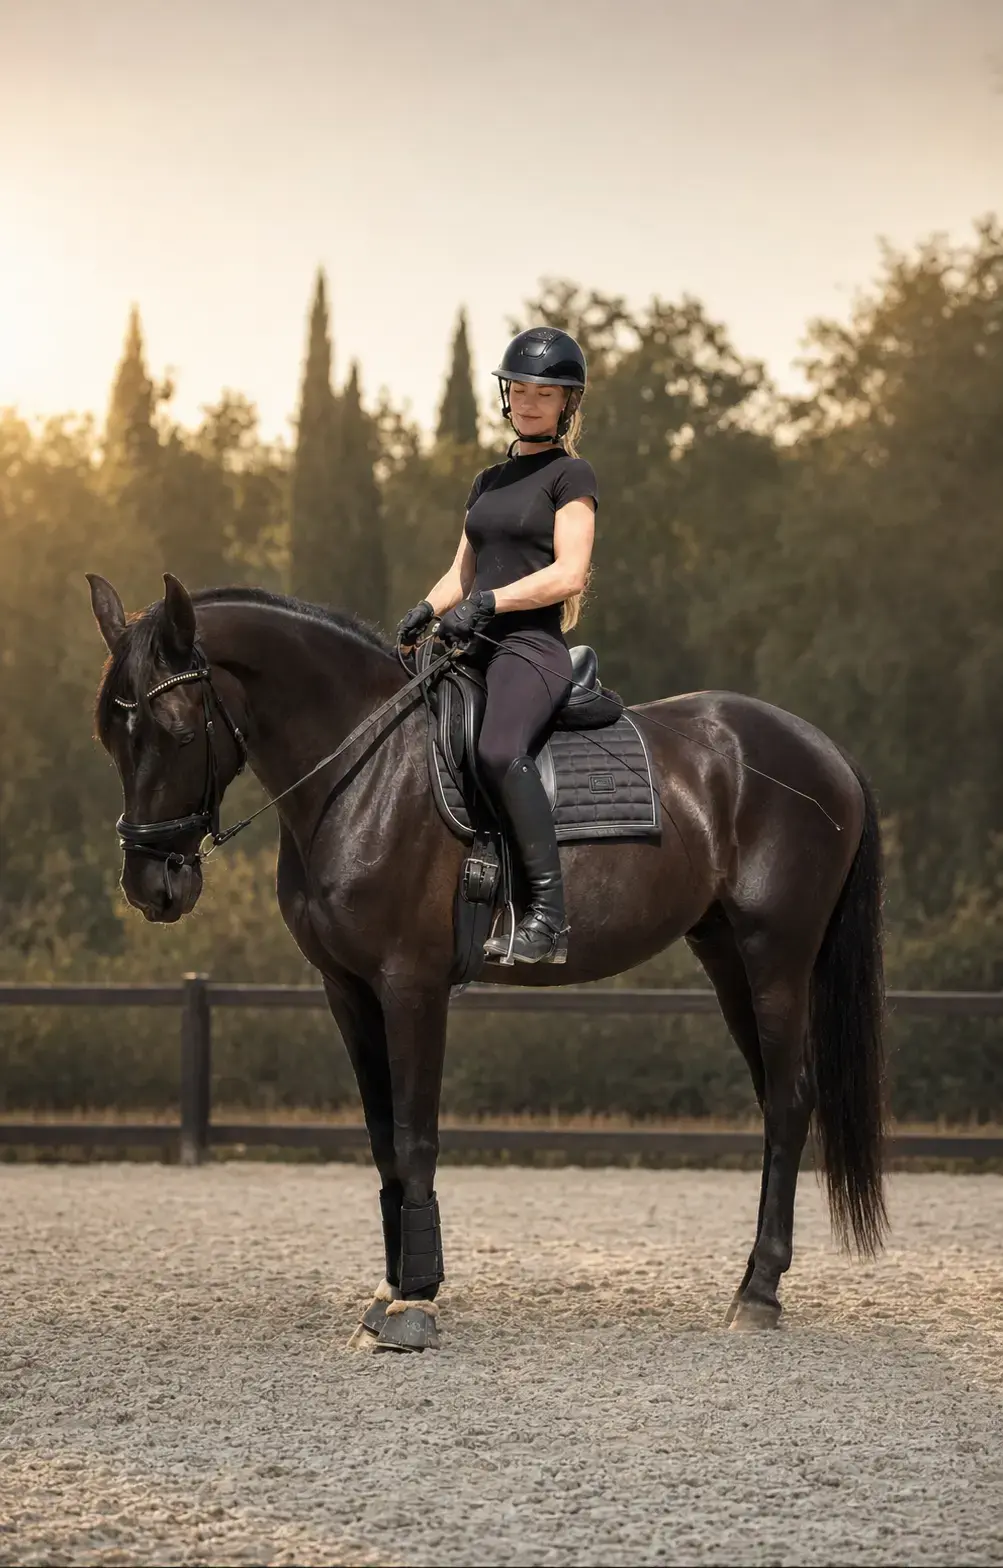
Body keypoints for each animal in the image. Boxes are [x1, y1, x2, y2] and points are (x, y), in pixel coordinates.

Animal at [87, 570, 886, 1352]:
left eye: (178, 730)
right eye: (109, 737)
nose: (152, 884)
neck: (367, 771)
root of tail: (825, 751)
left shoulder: (410, 985)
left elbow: (414, 1136)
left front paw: (415, 1301)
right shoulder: (348, 990)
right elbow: (381, 1136)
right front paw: (391, 1287)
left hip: (775, 954)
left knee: (790, 1099)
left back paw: (759, 1292)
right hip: (725, 955)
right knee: (775, 1099)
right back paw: (752, 1281)